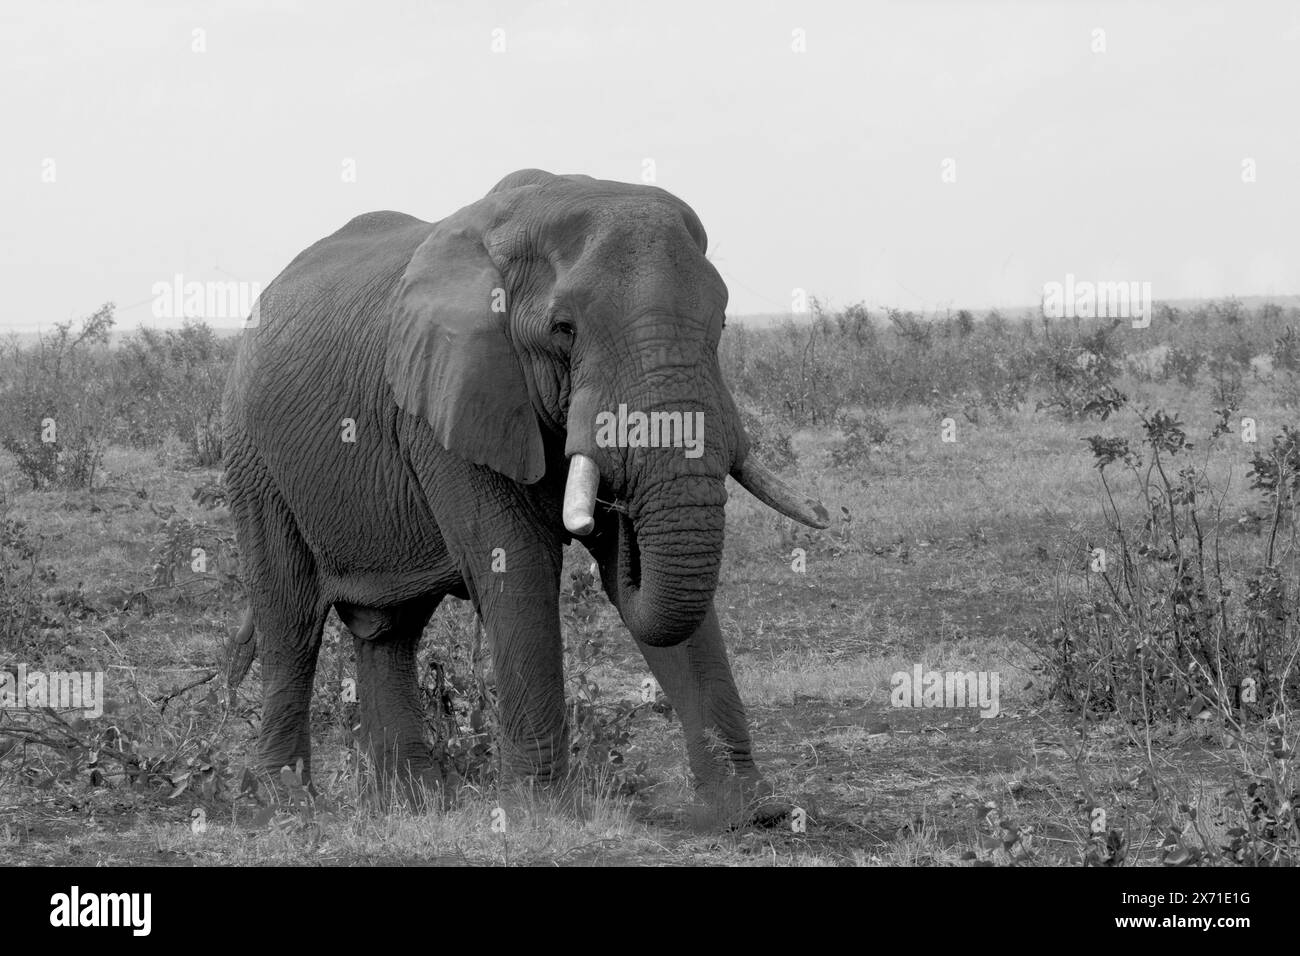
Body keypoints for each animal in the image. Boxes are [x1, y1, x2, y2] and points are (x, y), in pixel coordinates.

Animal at [223, 170, 826, 816]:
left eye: (721, 323)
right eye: (564, 330)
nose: (619, 515)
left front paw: (754, 811)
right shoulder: (452, 400)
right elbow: (518, 566)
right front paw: (541, 814)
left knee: (390, 629)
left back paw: (416, 800)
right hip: (252, 455)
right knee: (289, 615)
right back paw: (282, 802)